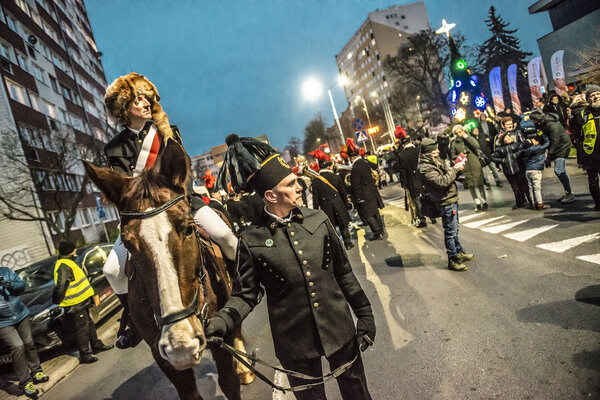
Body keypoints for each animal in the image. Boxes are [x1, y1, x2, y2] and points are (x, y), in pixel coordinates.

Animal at [84, 141, 253, 400]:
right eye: (127, 243)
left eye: (188, 228)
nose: (180, 343)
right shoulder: (161, 353)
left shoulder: (218, 333)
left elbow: (229, 382)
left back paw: (245, 368)